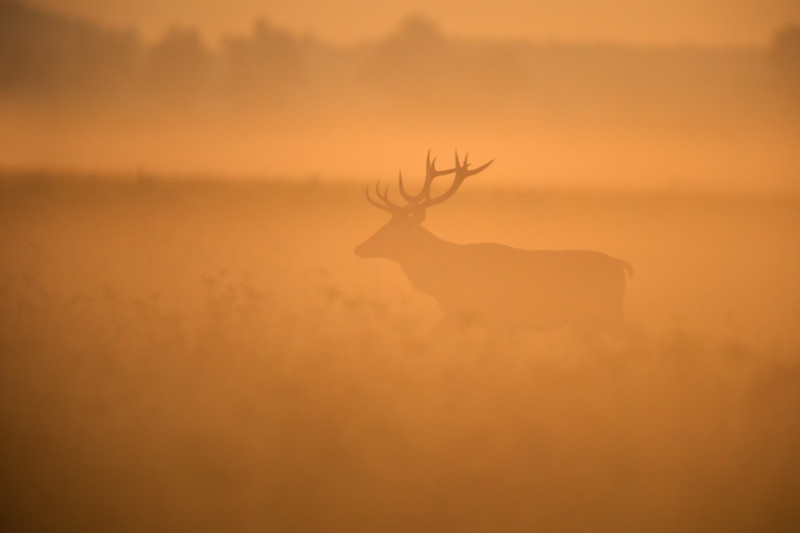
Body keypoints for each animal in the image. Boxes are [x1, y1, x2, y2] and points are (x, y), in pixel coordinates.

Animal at [354, 150, 636, 332]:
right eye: (385, 225)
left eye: (394, 231)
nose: (358, 247)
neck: (442, 279)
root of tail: (620, 264)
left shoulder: (478, 314)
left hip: (608, 311)